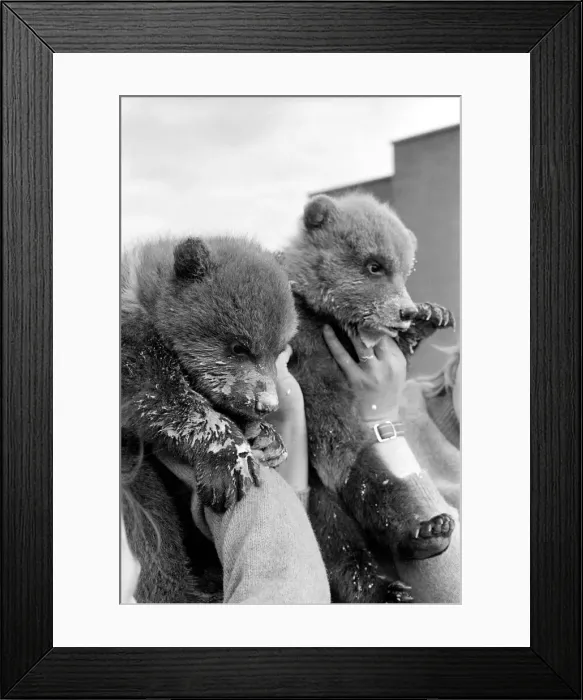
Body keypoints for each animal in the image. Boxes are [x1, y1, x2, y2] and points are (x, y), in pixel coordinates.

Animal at [121, 235, 298, 601]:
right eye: (238, 346)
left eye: (279, 349)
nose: (267, 404)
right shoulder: (133, 345)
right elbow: (162, 396)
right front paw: (228, 458)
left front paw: (267, 439)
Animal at [281, 192, 456, 603]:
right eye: (375, 265)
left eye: (405, 270)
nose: (406, 310)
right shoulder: (306, 344)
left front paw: (431, 315)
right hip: (321, 490)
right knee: (338, 533)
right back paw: (387, 584)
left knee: (382, 489)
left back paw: (428, 533)